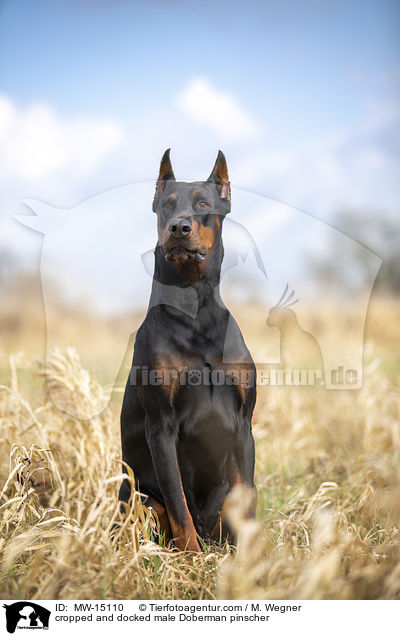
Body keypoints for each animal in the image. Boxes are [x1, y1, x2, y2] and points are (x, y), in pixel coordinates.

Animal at [119, 150, 256, 552]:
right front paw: (191, 558)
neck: (197, 313)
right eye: (167, 204)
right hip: (137, 496)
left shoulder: (243, 424)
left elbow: (247, 501)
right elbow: (180, 508)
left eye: (203, 204)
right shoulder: (161, 426)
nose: (179, 228)